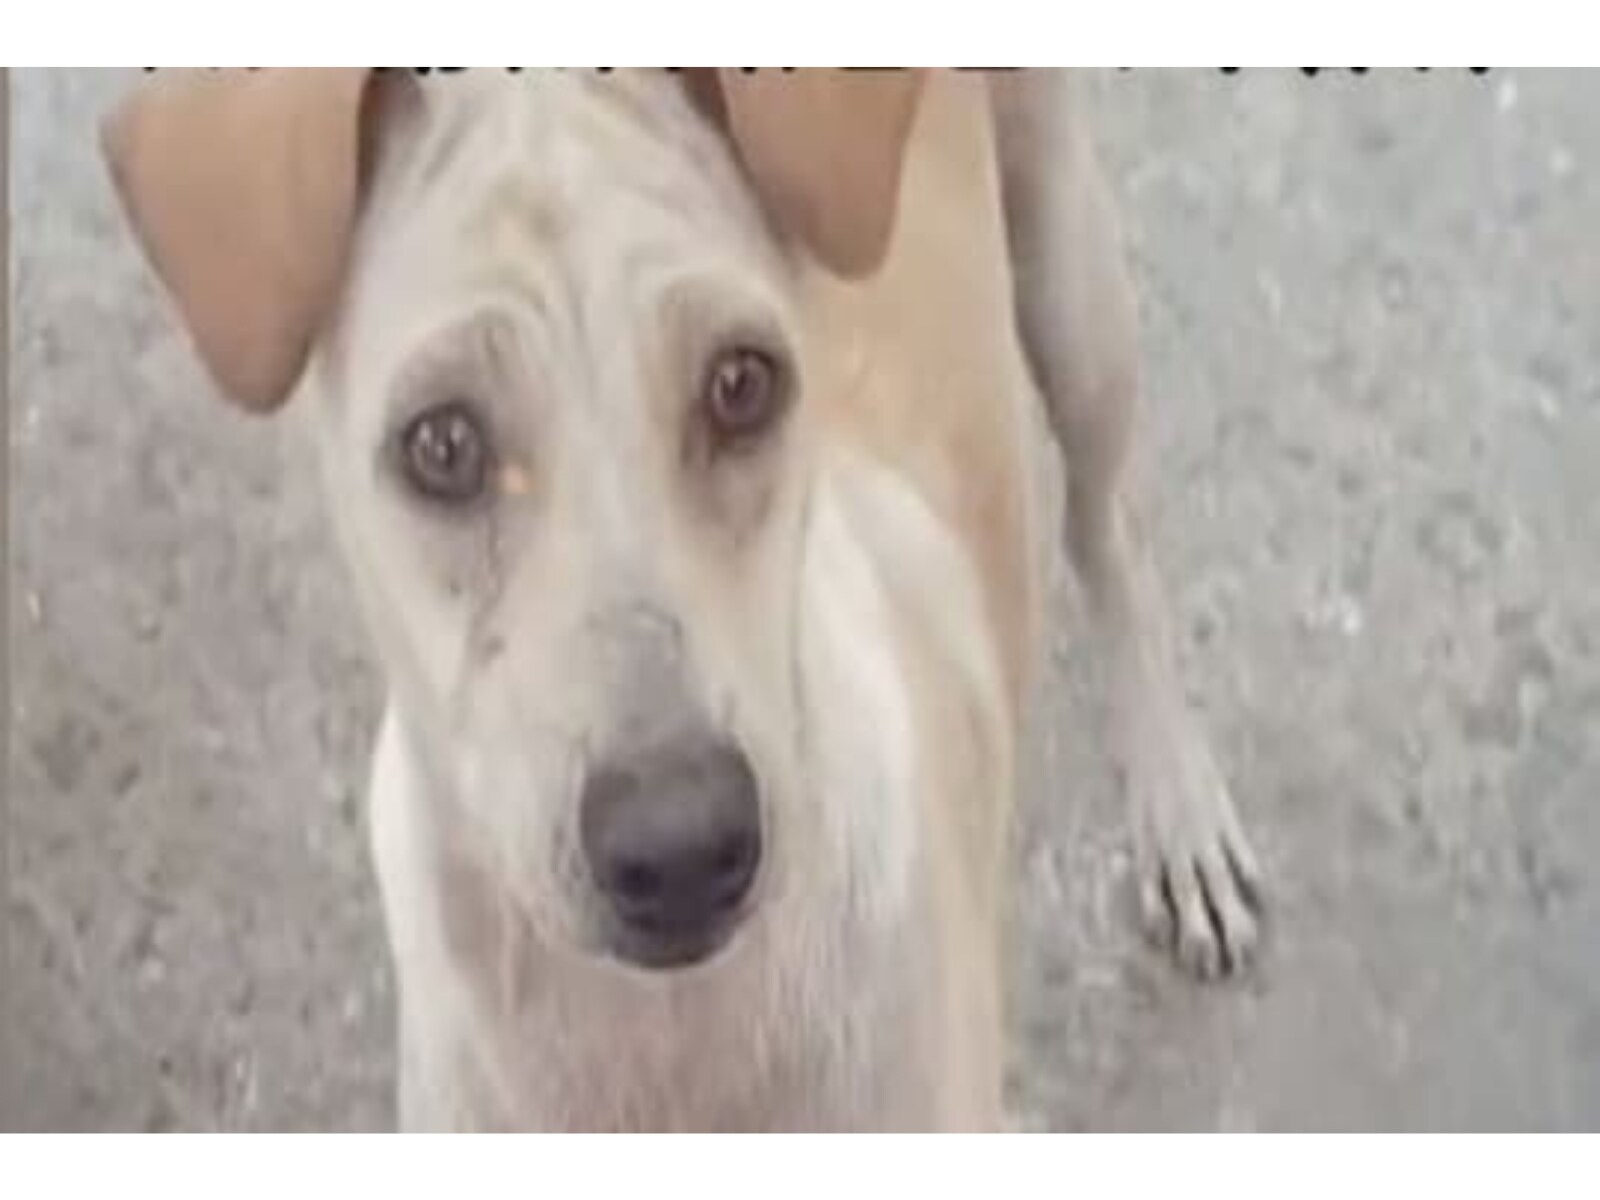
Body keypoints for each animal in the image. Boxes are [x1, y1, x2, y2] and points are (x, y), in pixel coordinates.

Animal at [106, 68, 1267, 1139]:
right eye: (441, 444)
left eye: (741, 383)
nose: (680, 850)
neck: (658, 1043)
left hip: (1069, 270)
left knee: (1109, 533)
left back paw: (1180, 809)